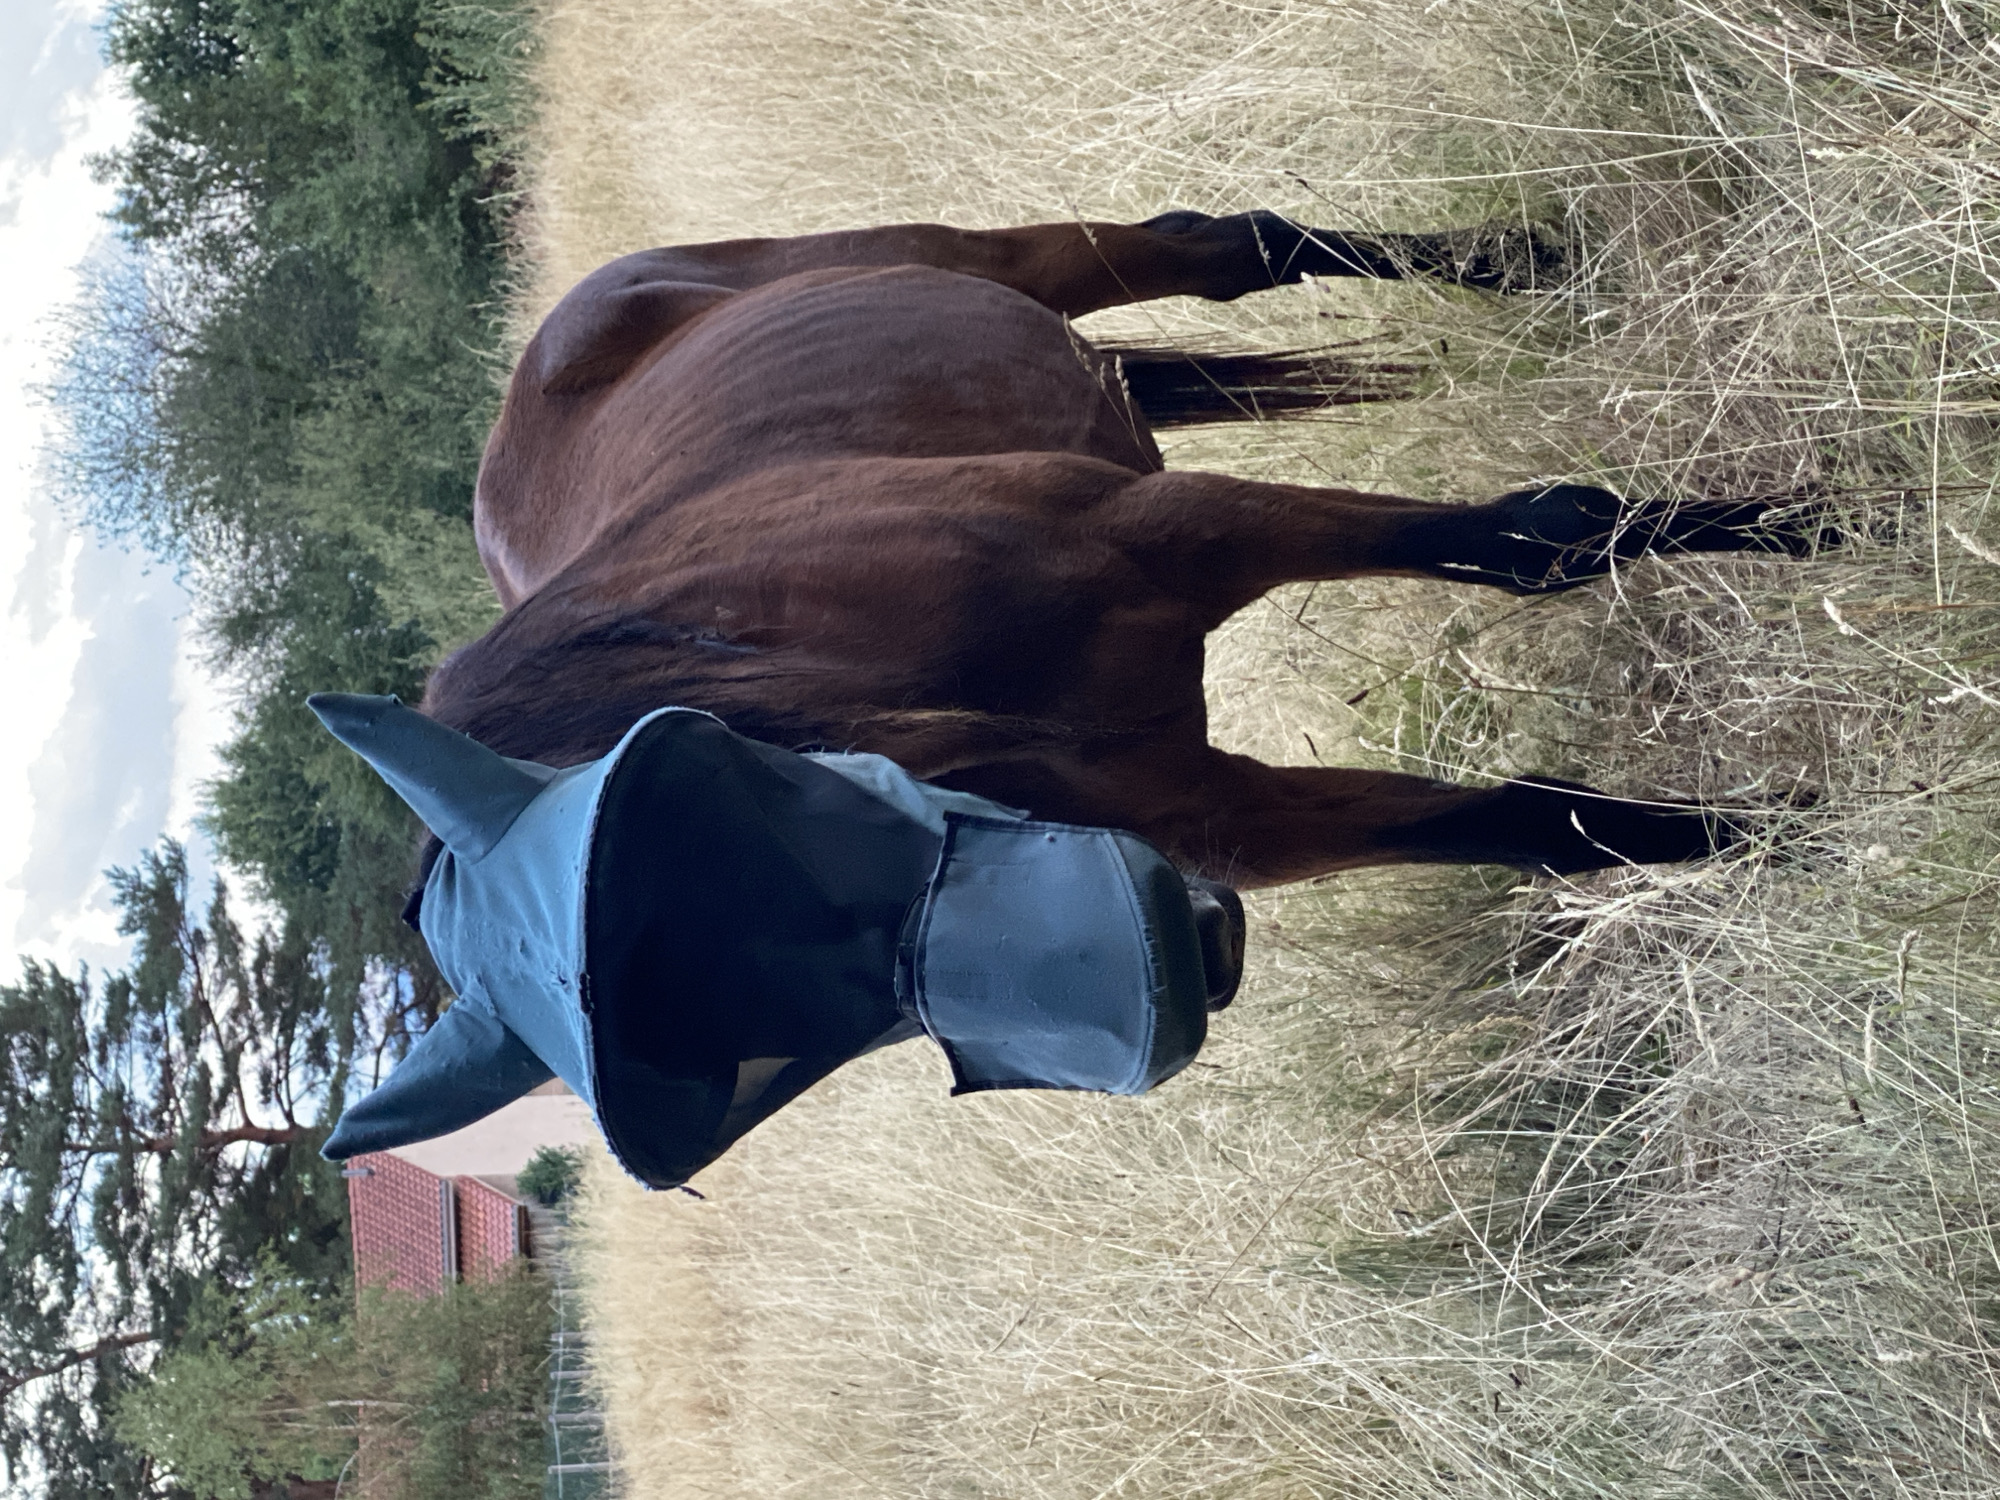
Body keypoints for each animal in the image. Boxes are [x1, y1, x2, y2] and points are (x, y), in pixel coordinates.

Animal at [420, 211, 1812, 889]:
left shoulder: (1184, 533)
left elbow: (1540, 540)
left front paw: (1823, 521)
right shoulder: (1231, 810)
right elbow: (1543, 826)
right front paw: (1799, 838)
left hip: (978, 261)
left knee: (1228, 240)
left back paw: (1533, 259)